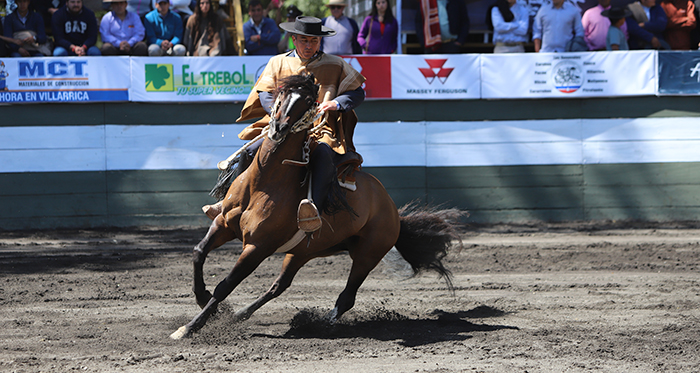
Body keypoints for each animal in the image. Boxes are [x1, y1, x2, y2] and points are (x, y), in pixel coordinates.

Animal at [171, 73, 464, 340]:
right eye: (280, 94)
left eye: (310, 101)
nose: (279, 128)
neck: (263, 185)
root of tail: (392, 209)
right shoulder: (223, 225)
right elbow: (198, 252)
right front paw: (202, 297)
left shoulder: (257, 247)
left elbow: (226, 285)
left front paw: (189, 327)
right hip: (302, 252)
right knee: (279, 285)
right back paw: (242, 314)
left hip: (368, 254)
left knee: (347, 297)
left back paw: (322, 323)